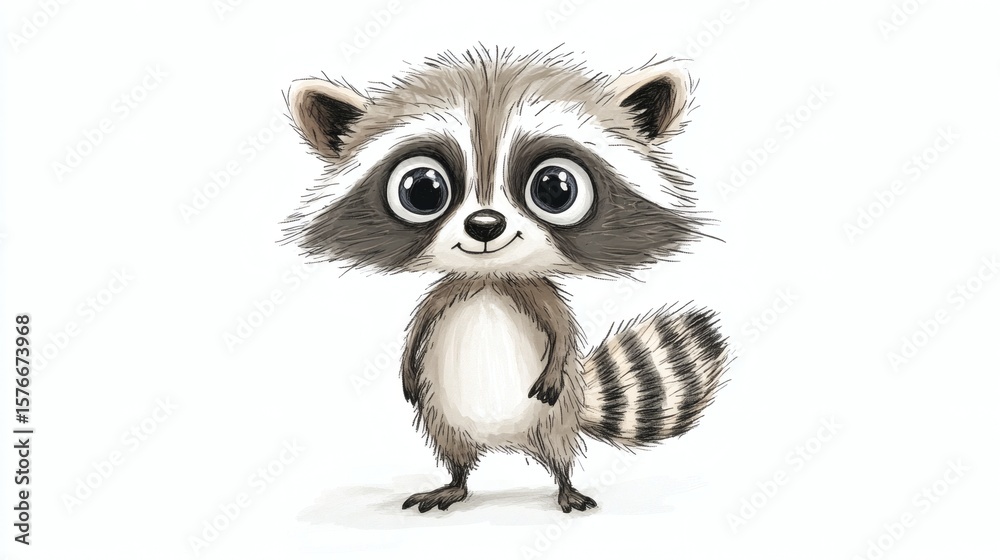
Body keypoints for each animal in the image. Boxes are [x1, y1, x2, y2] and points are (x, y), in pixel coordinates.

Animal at [284, 47, 728, 513]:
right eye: (423, 189)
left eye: (554, 188)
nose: (485, 224)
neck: (491, 279)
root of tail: (507, 442)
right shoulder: (449, 291)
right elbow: (422, 321)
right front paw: (406, 362)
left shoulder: (537, 294)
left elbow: (561, 329)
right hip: (444, 419)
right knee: (455, 453)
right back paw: (454, 483)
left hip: (555, 417)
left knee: (560, 452)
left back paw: (565, 485)